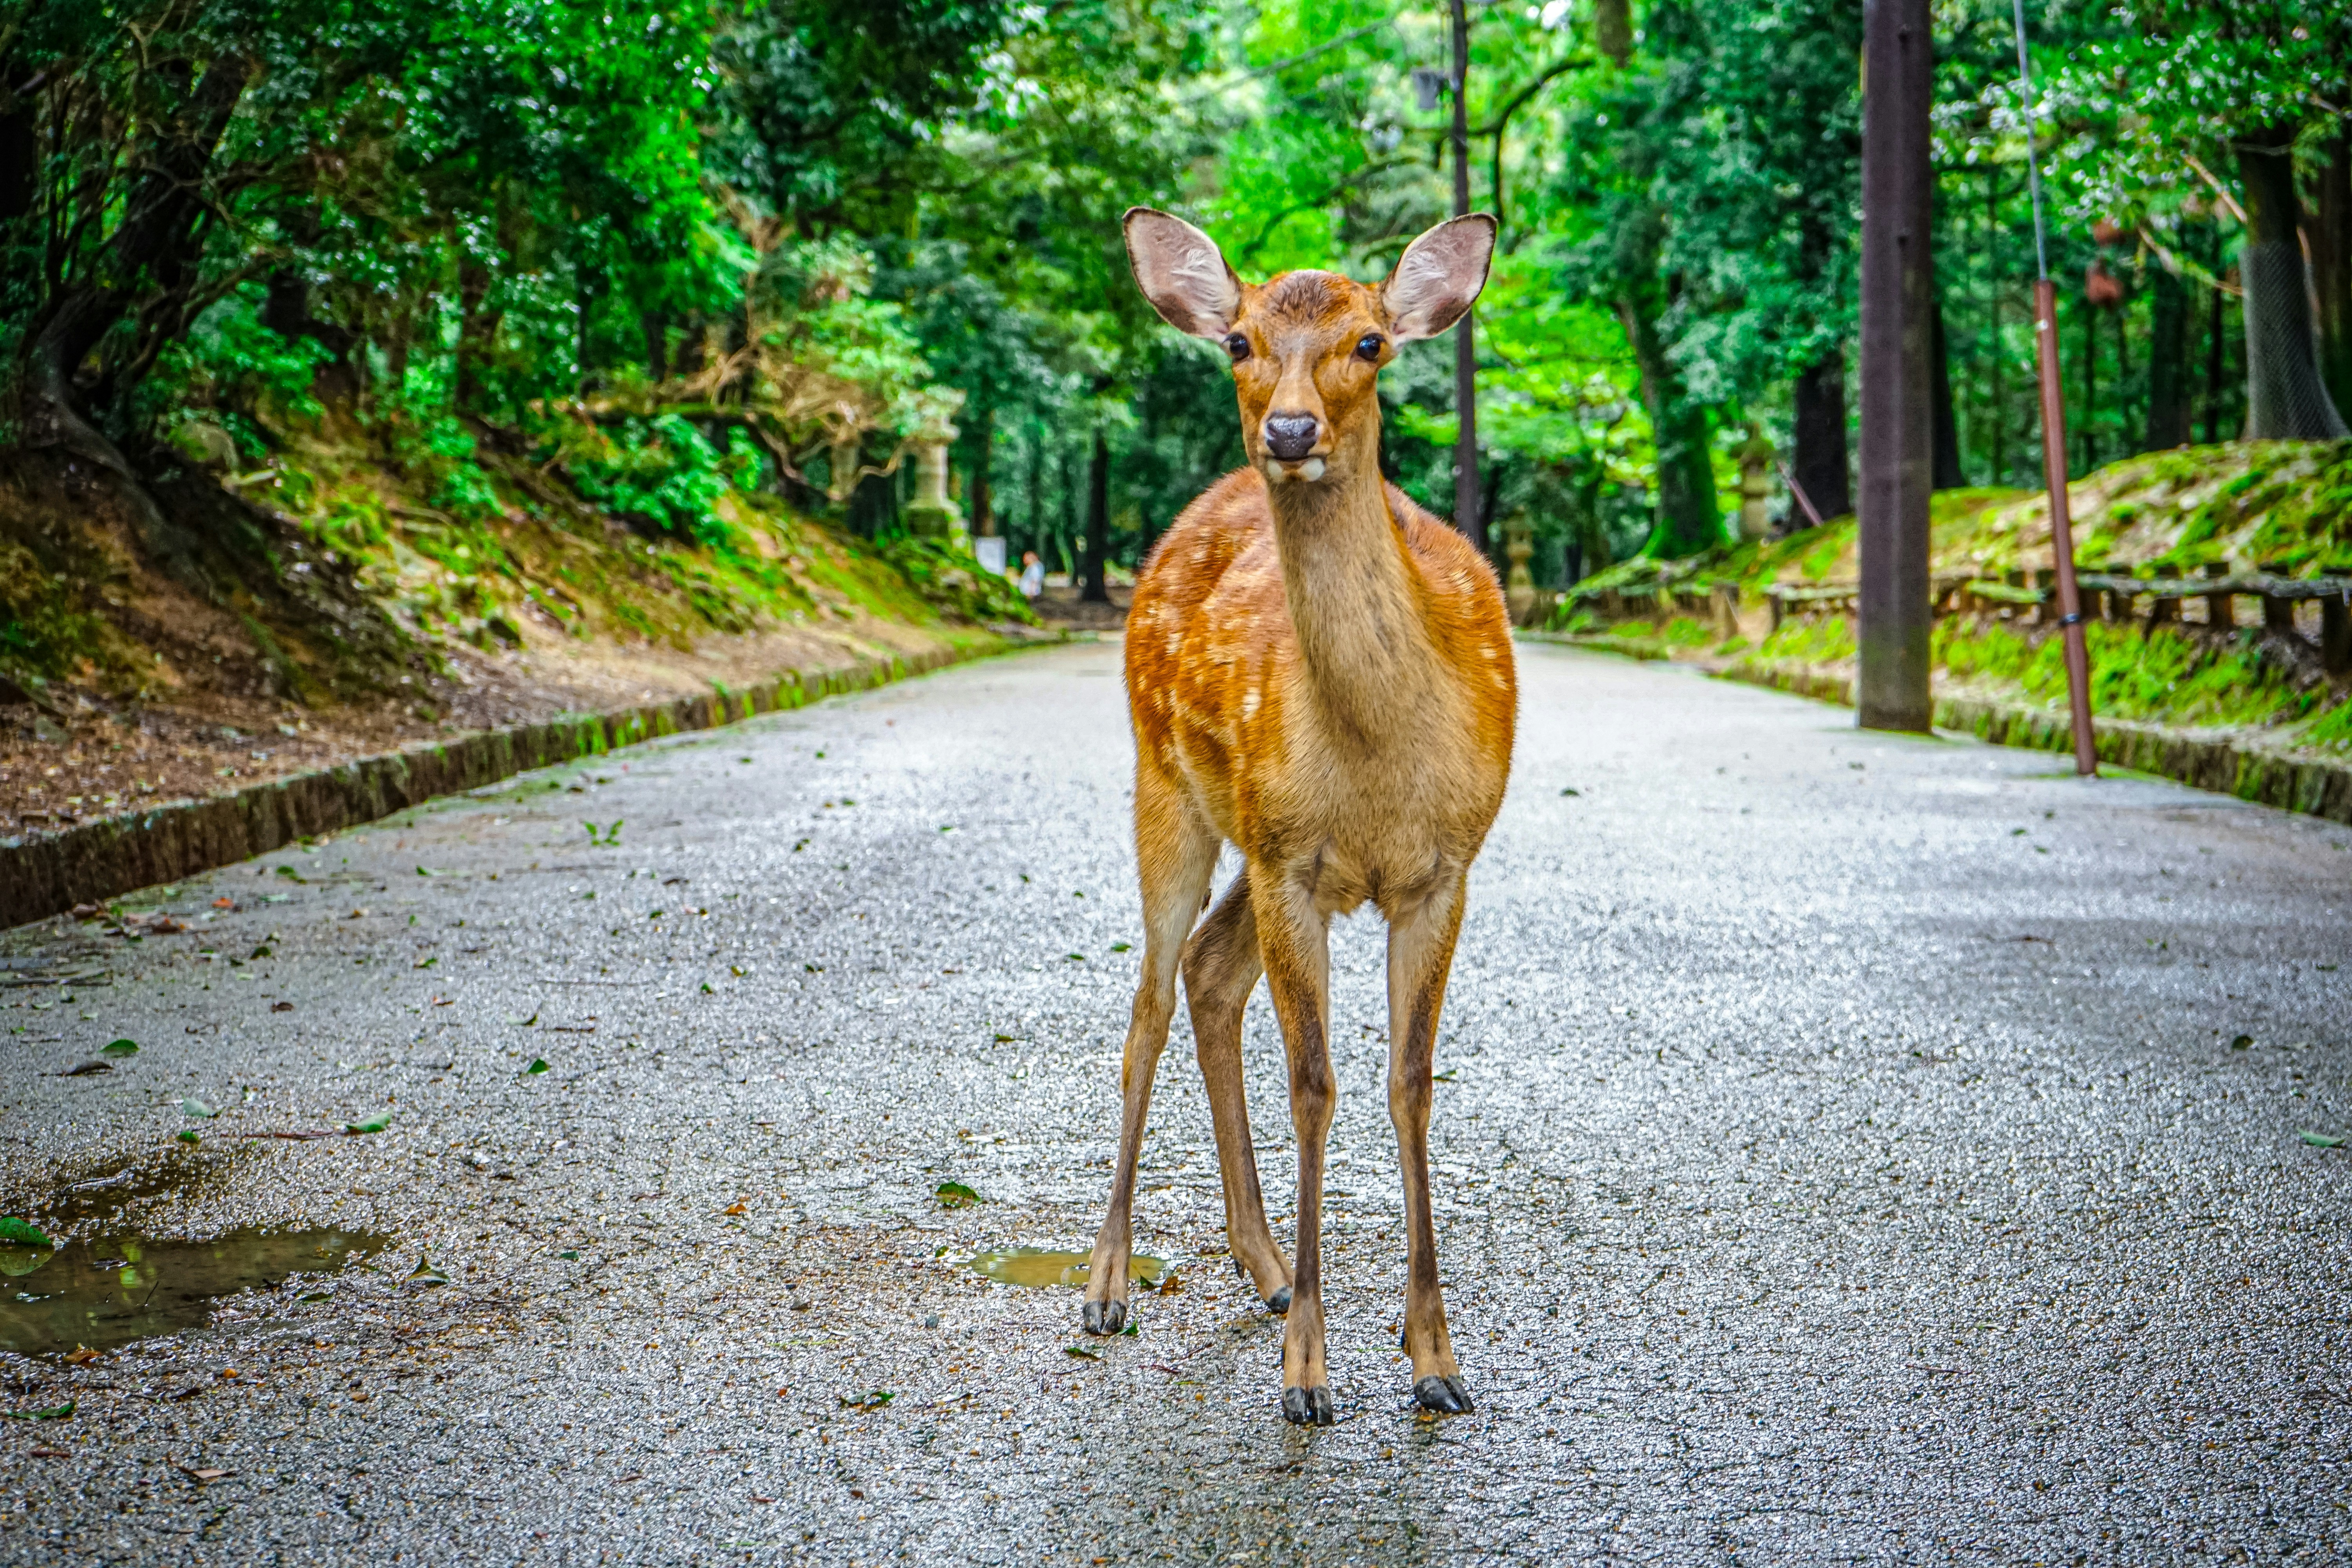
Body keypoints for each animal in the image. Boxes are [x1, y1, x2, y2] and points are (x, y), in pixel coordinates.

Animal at [1080, 207, 1517, 1426]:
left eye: (1370, 342)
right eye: (1237, 341)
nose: (1287, 428)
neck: (1375, 768)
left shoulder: (1443, 869)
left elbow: (1410, 1085)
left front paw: (1434, 1359)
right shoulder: (1295, 866)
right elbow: (1315, 1087)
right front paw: (1311, 1375)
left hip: (1249, 831)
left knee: (1208, 972)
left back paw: (1264, 1263)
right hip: (1168, 784)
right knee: (1147, 1002)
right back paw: (1110, 1283)